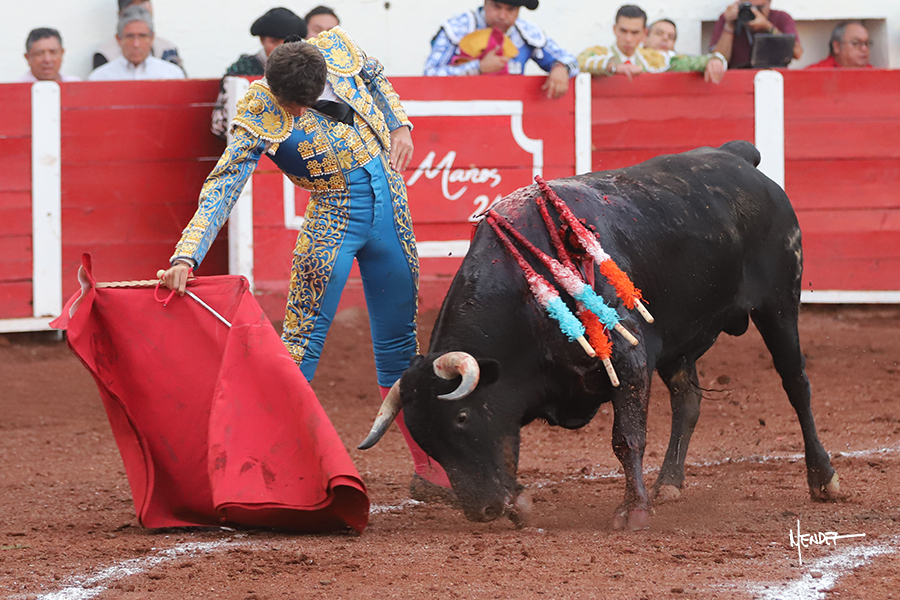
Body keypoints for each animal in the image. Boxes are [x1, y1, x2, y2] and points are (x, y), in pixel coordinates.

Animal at [359, 141, 840, 530]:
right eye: (423, 437)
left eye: (460, 418)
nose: (483, 511)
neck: (524, 293)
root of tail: (737, 157)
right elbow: (511, 449)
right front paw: (520, 504)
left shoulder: (629, 360)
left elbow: (626, 439)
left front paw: (634, 512)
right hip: (680, 339)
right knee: (688, 401)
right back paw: (669, 483)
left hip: (779, 305)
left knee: (796, 384)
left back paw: (823, 479)